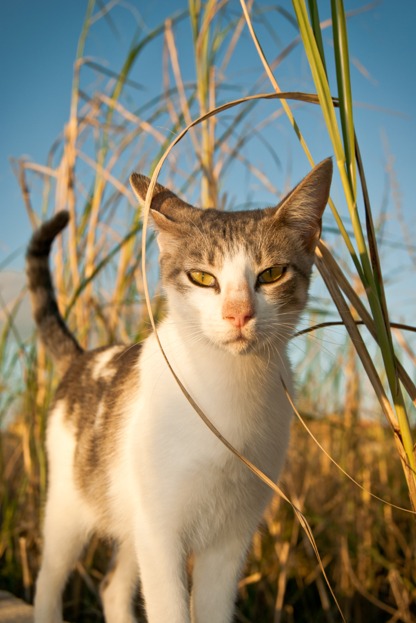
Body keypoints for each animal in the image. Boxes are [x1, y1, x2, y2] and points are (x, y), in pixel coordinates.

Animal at [26, 158, 332, 620]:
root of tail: (82, 356)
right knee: (48, 580)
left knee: (112, 588)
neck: (227, 391)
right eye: (202, 277)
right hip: (71, 505)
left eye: (272, 274)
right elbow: (169, 609)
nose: (239, 314)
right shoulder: (161, 533)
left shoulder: (230, 540)